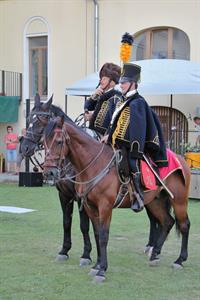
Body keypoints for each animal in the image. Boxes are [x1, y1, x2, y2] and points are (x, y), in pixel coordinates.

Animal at [42, 116, 191, 282]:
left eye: (59, 141)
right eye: (43, 142)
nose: (49, 173)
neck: (94, 164)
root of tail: (180, 158)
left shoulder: (105, 207)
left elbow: (103, 236)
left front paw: (101, 270)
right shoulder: (89, 206)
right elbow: (97, 233)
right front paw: (97, 265)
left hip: (179, 201)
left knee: (184, 225)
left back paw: (179, 260)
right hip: (155, 201)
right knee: (167, 222)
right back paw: (155, 255)